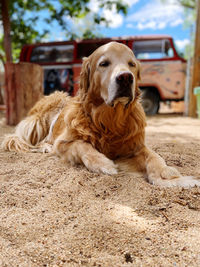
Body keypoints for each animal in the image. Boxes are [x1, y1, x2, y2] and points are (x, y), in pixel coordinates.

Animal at [1, 42, 200, 188]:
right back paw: (45, 147)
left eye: (131, 64)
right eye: (104, 64)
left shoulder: (135, 146)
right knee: (39, 140)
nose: (126, 77)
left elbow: (155, 157)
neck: (110, 118)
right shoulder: (64, 142)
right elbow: (82, 145)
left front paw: (171, 177)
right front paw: (103, 164)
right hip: (48, 110)